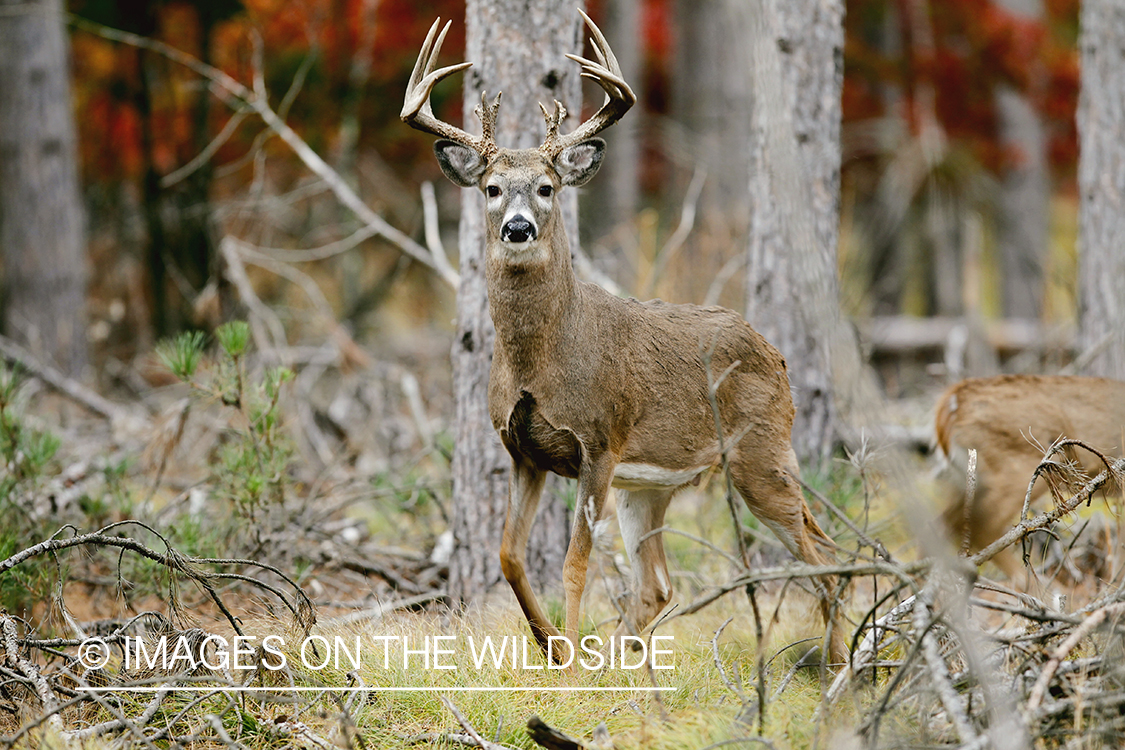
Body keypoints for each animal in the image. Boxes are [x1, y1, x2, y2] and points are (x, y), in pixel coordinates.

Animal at [400, 11, 846, 665]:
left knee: (826, 558)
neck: (540, 359)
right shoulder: (522, 451)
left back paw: (841, 668)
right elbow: (509, 555)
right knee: (659, 584)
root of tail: (776, 354)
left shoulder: (599, 442)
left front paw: (565, 664)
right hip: (650, 487)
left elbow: (574, 565)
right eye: (491, 188)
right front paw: (554, 649)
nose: (517, 228)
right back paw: (612, 662)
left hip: (760, 452)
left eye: (547, 187)